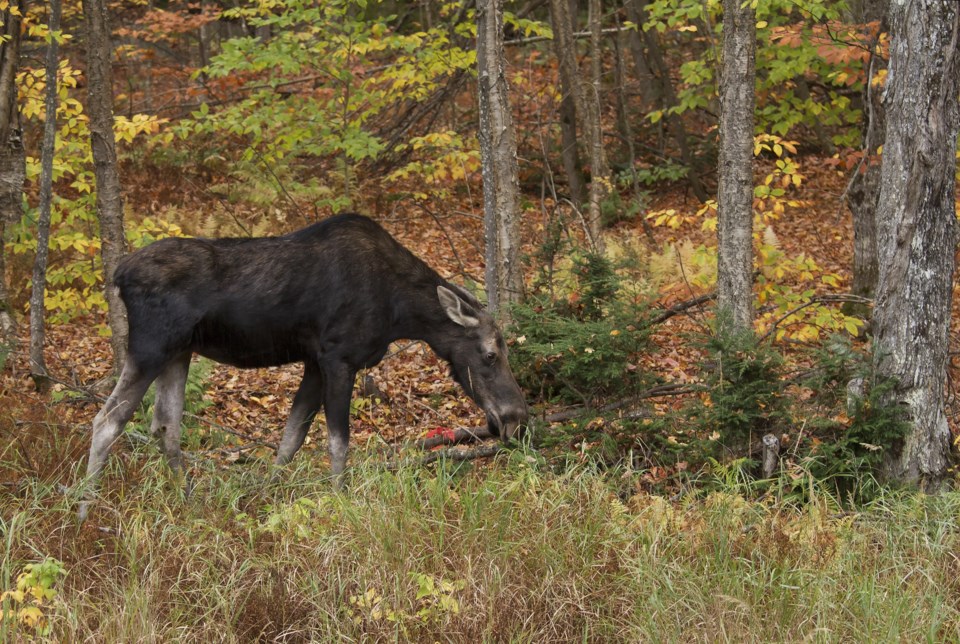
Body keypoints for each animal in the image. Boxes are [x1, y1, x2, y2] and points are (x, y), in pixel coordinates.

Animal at [80, 214, 532, 520]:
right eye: (490, 354)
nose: (516, 416)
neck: (400, 312)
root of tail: (118, 275)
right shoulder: (338, 357)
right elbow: (338, 442)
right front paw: (341, 501)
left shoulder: (314, 362)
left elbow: (290, 438)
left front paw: (266, 497)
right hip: (151, 347)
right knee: (108, 420)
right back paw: (83, 509)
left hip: (179, 352)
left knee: (165, 425)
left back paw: (188, 500)